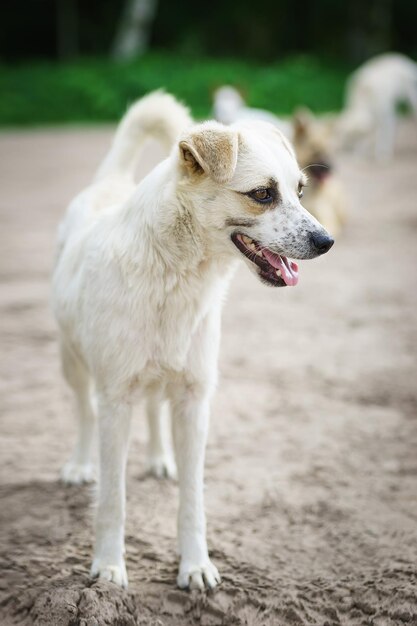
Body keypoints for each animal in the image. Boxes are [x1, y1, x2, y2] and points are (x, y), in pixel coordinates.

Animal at [52, 90, 334, 588]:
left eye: (300, 191)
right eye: (263, 194)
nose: (327, 240)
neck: (177, 277)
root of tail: (109, 183)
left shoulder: (194, 400)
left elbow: (193, 500)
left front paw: (195, 565)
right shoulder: (115, 401)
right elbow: (113, 499)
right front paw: (108, 566)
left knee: (152, 409)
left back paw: (159, 459)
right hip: (75, 363)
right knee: (84, 413)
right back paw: (80, 465)